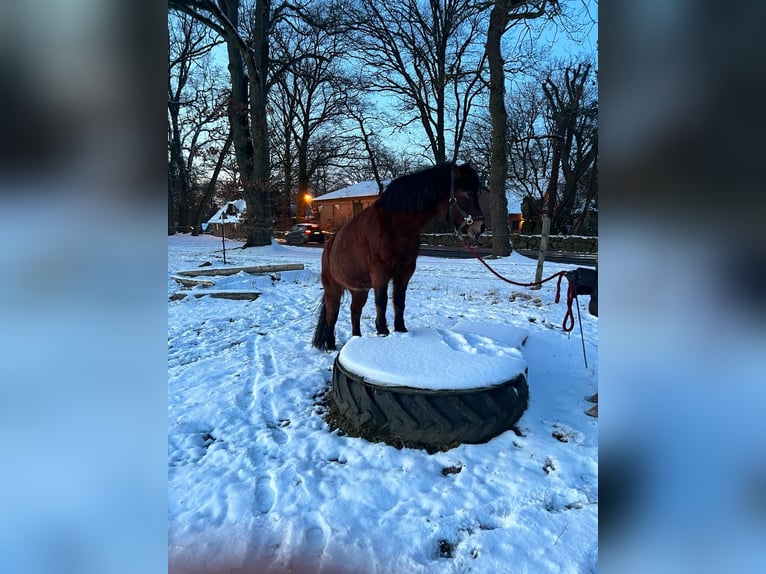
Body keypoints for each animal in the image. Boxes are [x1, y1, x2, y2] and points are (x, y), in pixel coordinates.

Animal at [312, 162, 486, 352]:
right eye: (468, 193)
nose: (480, 227)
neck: (395, 226)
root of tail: (329, 245)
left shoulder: (405, 272)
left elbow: (399, 300)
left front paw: (400, 329)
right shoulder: (379, 273)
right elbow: (381, 301)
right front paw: (382, 331)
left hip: (359, 289)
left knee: (354, 312)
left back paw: (356, 338)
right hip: (333, 289)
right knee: (332, 316)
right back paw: (330, 345)